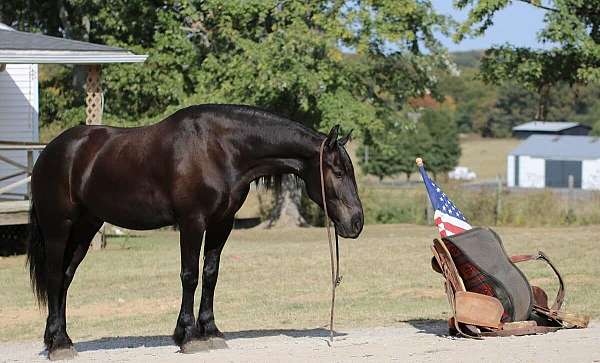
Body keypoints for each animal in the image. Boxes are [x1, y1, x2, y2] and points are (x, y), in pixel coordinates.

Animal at [25, 104, 364, 360]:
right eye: (338, 171)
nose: (356, 222)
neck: (219, 149)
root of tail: (49, 153)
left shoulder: (221, 223)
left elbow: (211, 273)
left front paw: (211, 330)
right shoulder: (192, 221)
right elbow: (189, 275)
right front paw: (188, 335)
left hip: (86, 228)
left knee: (65, 279)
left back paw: (60, 339)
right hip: (59, 228)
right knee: (54, 277)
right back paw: (58, 344)